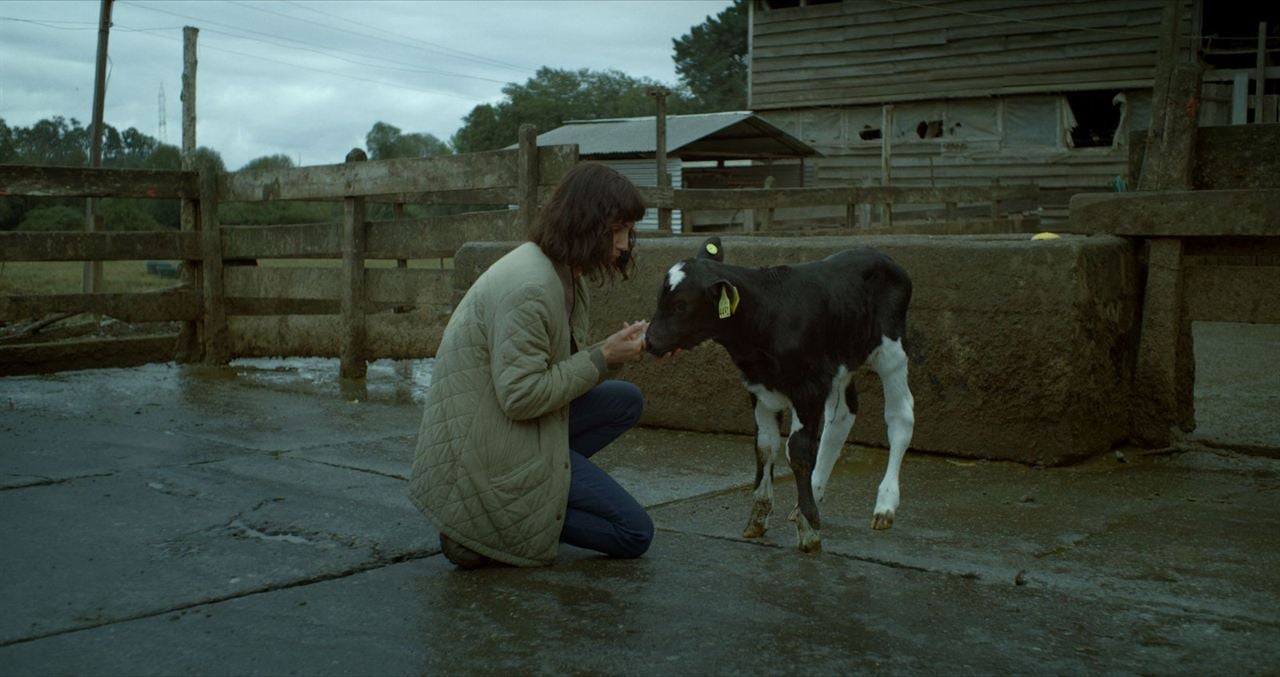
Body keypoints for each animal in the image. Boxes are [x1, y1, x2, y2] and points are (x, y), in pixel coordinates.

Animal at [645, 235, 916, 552]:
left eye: (681, 305)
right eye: (660, 299)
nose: (649, 341)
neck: (767, 316)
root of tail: (878, 254)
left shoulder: (808, 387)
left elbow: (797, 450)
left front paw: (810, 529)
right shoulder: (759, 388)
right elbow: (765, 446)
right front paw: (759, 517)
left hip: (891, 350)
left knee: (900, 416)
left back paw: (884, 506)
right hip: (840, 361)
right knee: (841, 416)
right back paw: (811, 495)